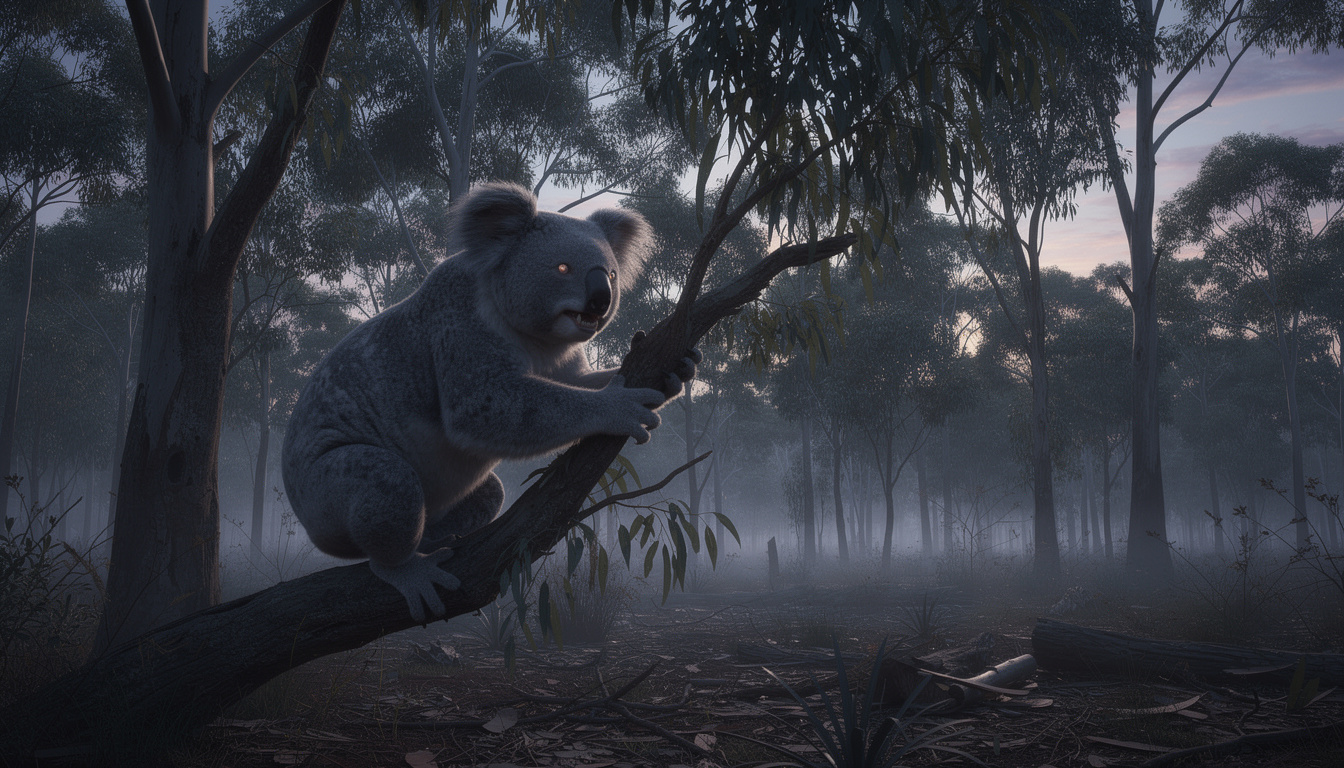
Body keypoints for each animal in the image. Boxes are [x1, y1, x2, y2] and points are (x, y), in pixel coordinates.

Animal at [281, 182, 696, 622]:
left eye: (613, 274)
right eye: (563, 268)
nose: (600, 300)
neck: (533, 337)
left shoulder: (560, 361)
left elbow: (580, 382)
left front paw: (677, 370)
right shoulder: (460, 325)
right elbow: (486, 409)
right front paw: (620, 407)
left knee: (489, 493)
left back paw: (435, 539)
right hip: (325, 489)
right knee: (388, 486)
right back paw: (412, 570)